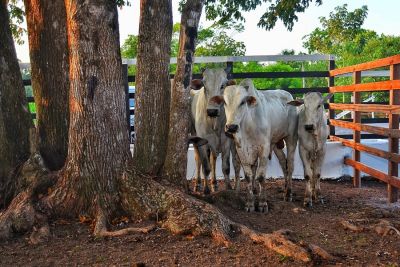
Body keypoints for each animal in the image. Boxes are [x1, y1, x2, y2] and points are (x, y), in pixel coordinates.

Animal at [211, 78, 298, 213]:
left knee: (291, 164)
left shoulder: (264, 149)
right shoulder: (242, 150)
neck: (248, 124)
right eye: (224, 102)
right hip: (275, 143)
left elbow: (261, 176)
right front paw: (250, 203)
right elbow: (248, 176)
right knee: (283, 162)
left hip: (291, 139)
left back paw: (288, 193)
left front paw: (262, 204)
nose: (231, 127)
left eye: (242, 102)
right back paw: (284, 188)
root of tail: (288, 95)